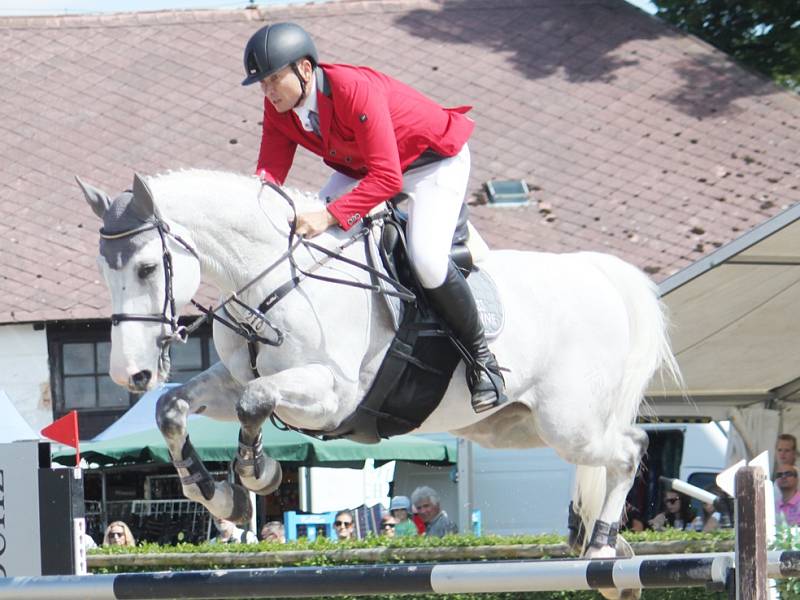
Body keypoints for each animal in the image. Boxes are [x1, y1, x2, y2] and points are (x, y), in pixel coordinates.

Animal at [79, 169, 680, 564]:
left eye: (147, 267)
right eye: (104, 273)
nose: (130, 375)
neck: (275, 277)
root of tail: (600, 276)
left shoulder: (333, 395)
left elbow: (257, 402)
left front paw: (256, 474)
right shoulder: (232, 379)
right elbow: (172, 407)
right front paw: (218, 494)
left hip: (568, 423)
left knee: (631, 449)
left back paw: (600, 543)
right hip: (517, 429)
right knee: (611, 453)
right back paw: (597, 537)